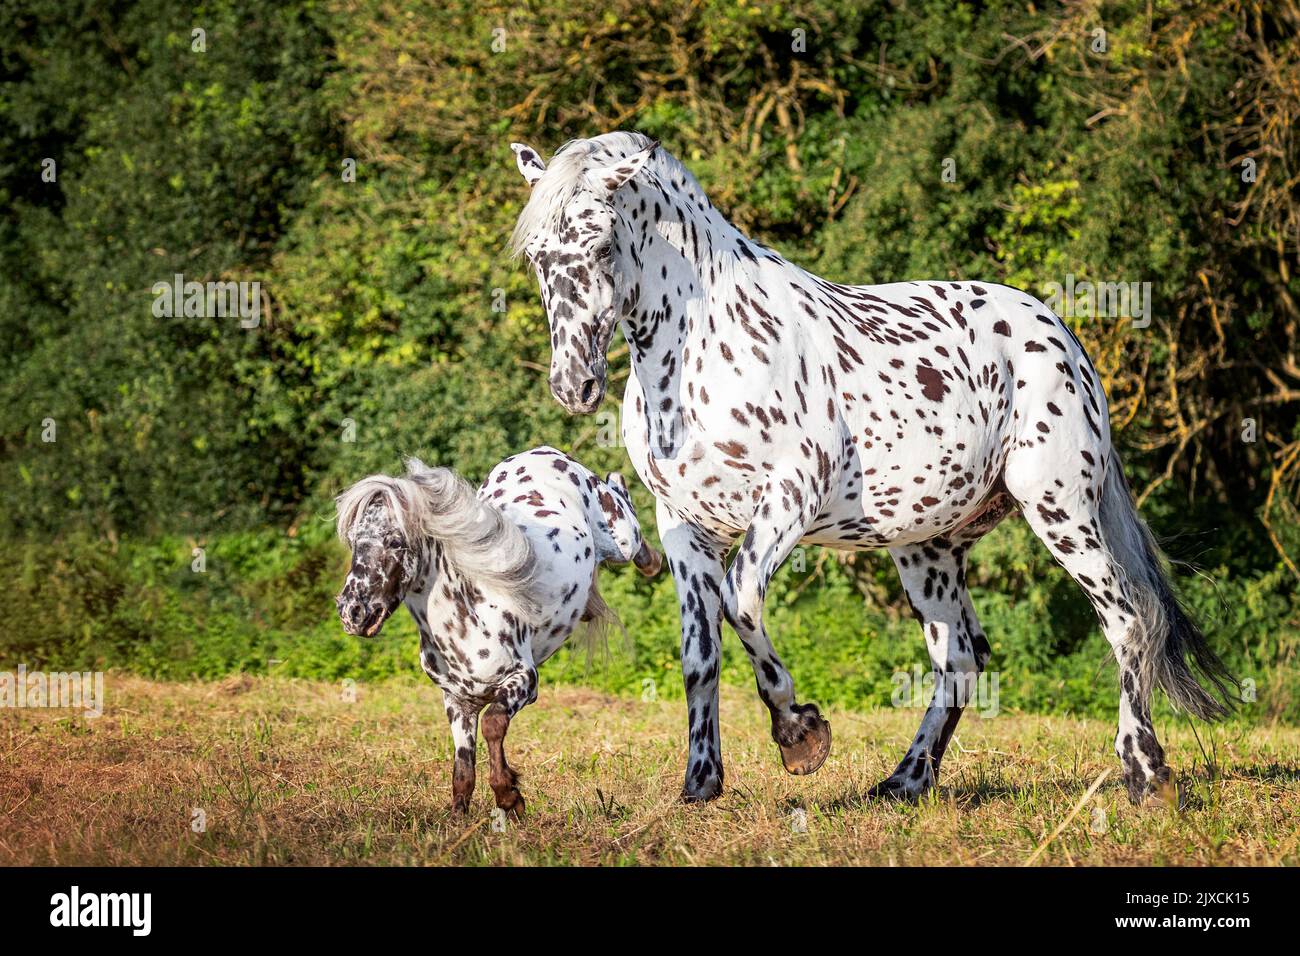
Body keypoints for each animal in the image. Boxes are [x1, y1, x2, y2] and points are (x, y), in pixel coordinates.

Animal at [334, 447, 661, 816]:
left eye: (395, 541)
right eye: (354, 542)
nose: (352, 613)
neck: (466, 616)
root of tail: (545, 452)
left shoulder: (523, 681)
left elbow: (493, 725)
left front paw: (510, 796)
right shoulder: (458, 701)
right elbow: (463, 769)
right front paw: (460, 819)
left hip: (622, 538)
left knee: (629, 518)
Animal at [508, 131, 1238, 806]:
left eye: (602, 244)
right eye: (538, 256)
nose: (574, 385)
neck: (709, 349)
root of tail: (1059, 331)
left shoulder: (789, 498)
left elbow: (741, 601)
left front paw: (800, 736)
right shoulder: (685, 525)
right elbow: (700, 653)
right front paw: (701, 782)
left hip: (1061, 509)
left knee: (1126, 621)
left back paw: (1146, 773)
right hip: (928, 546)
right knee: (961, 658)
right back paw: (906, 781)